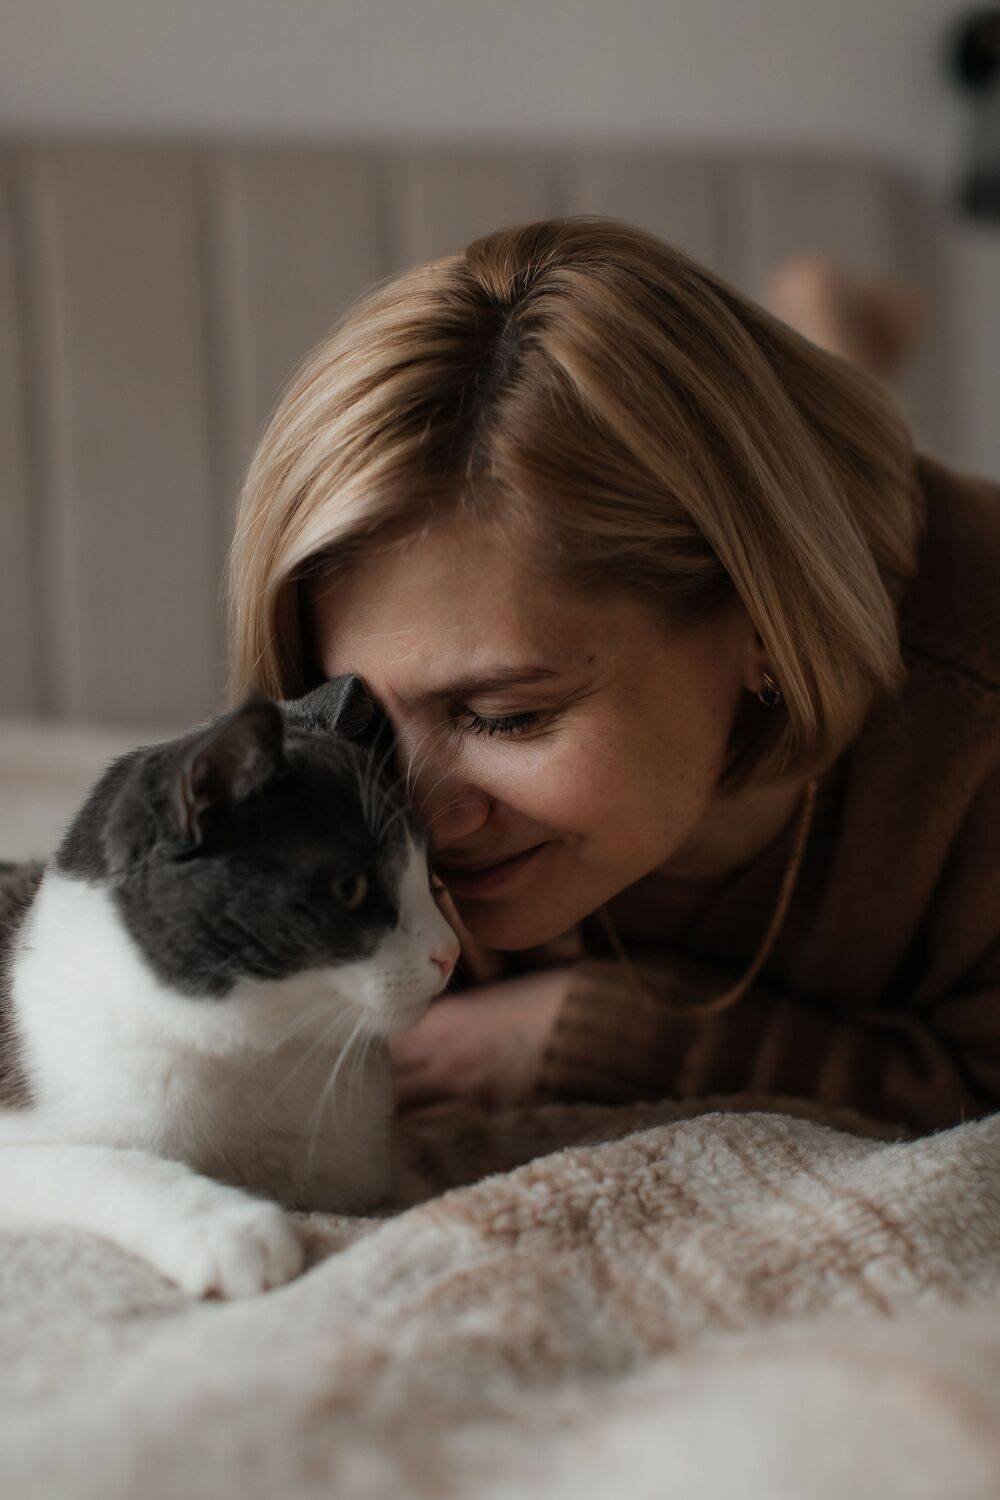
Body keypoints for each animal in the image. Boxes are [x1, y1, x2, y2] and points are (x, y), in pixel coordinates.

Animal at [0, 674, 460, 1300]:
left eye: (430, 877)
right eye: (351, 890)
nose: (449, 952)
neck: (261, 1055)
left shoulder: (355, 1165)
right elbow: (97, 1163)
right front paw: (230, 1226)